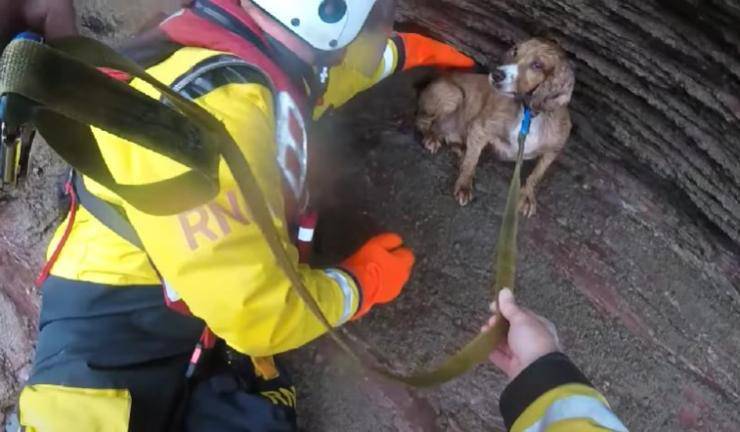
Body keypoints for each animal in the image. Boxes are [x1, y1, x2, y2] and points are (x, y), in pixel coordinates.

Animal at [416, 38, 572, 215]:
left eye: (538, 65)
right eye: (515, 51)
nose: (496, 74)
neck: (528, 114)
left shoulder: (554, 150)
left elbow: (536, 175)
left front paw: (527, 195)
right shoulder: (479, 128)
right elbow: (471, 161)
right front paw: (464, 185)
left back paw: (459, 147)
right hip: (454, 96)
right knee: (421, 120)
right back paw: (431, 137)